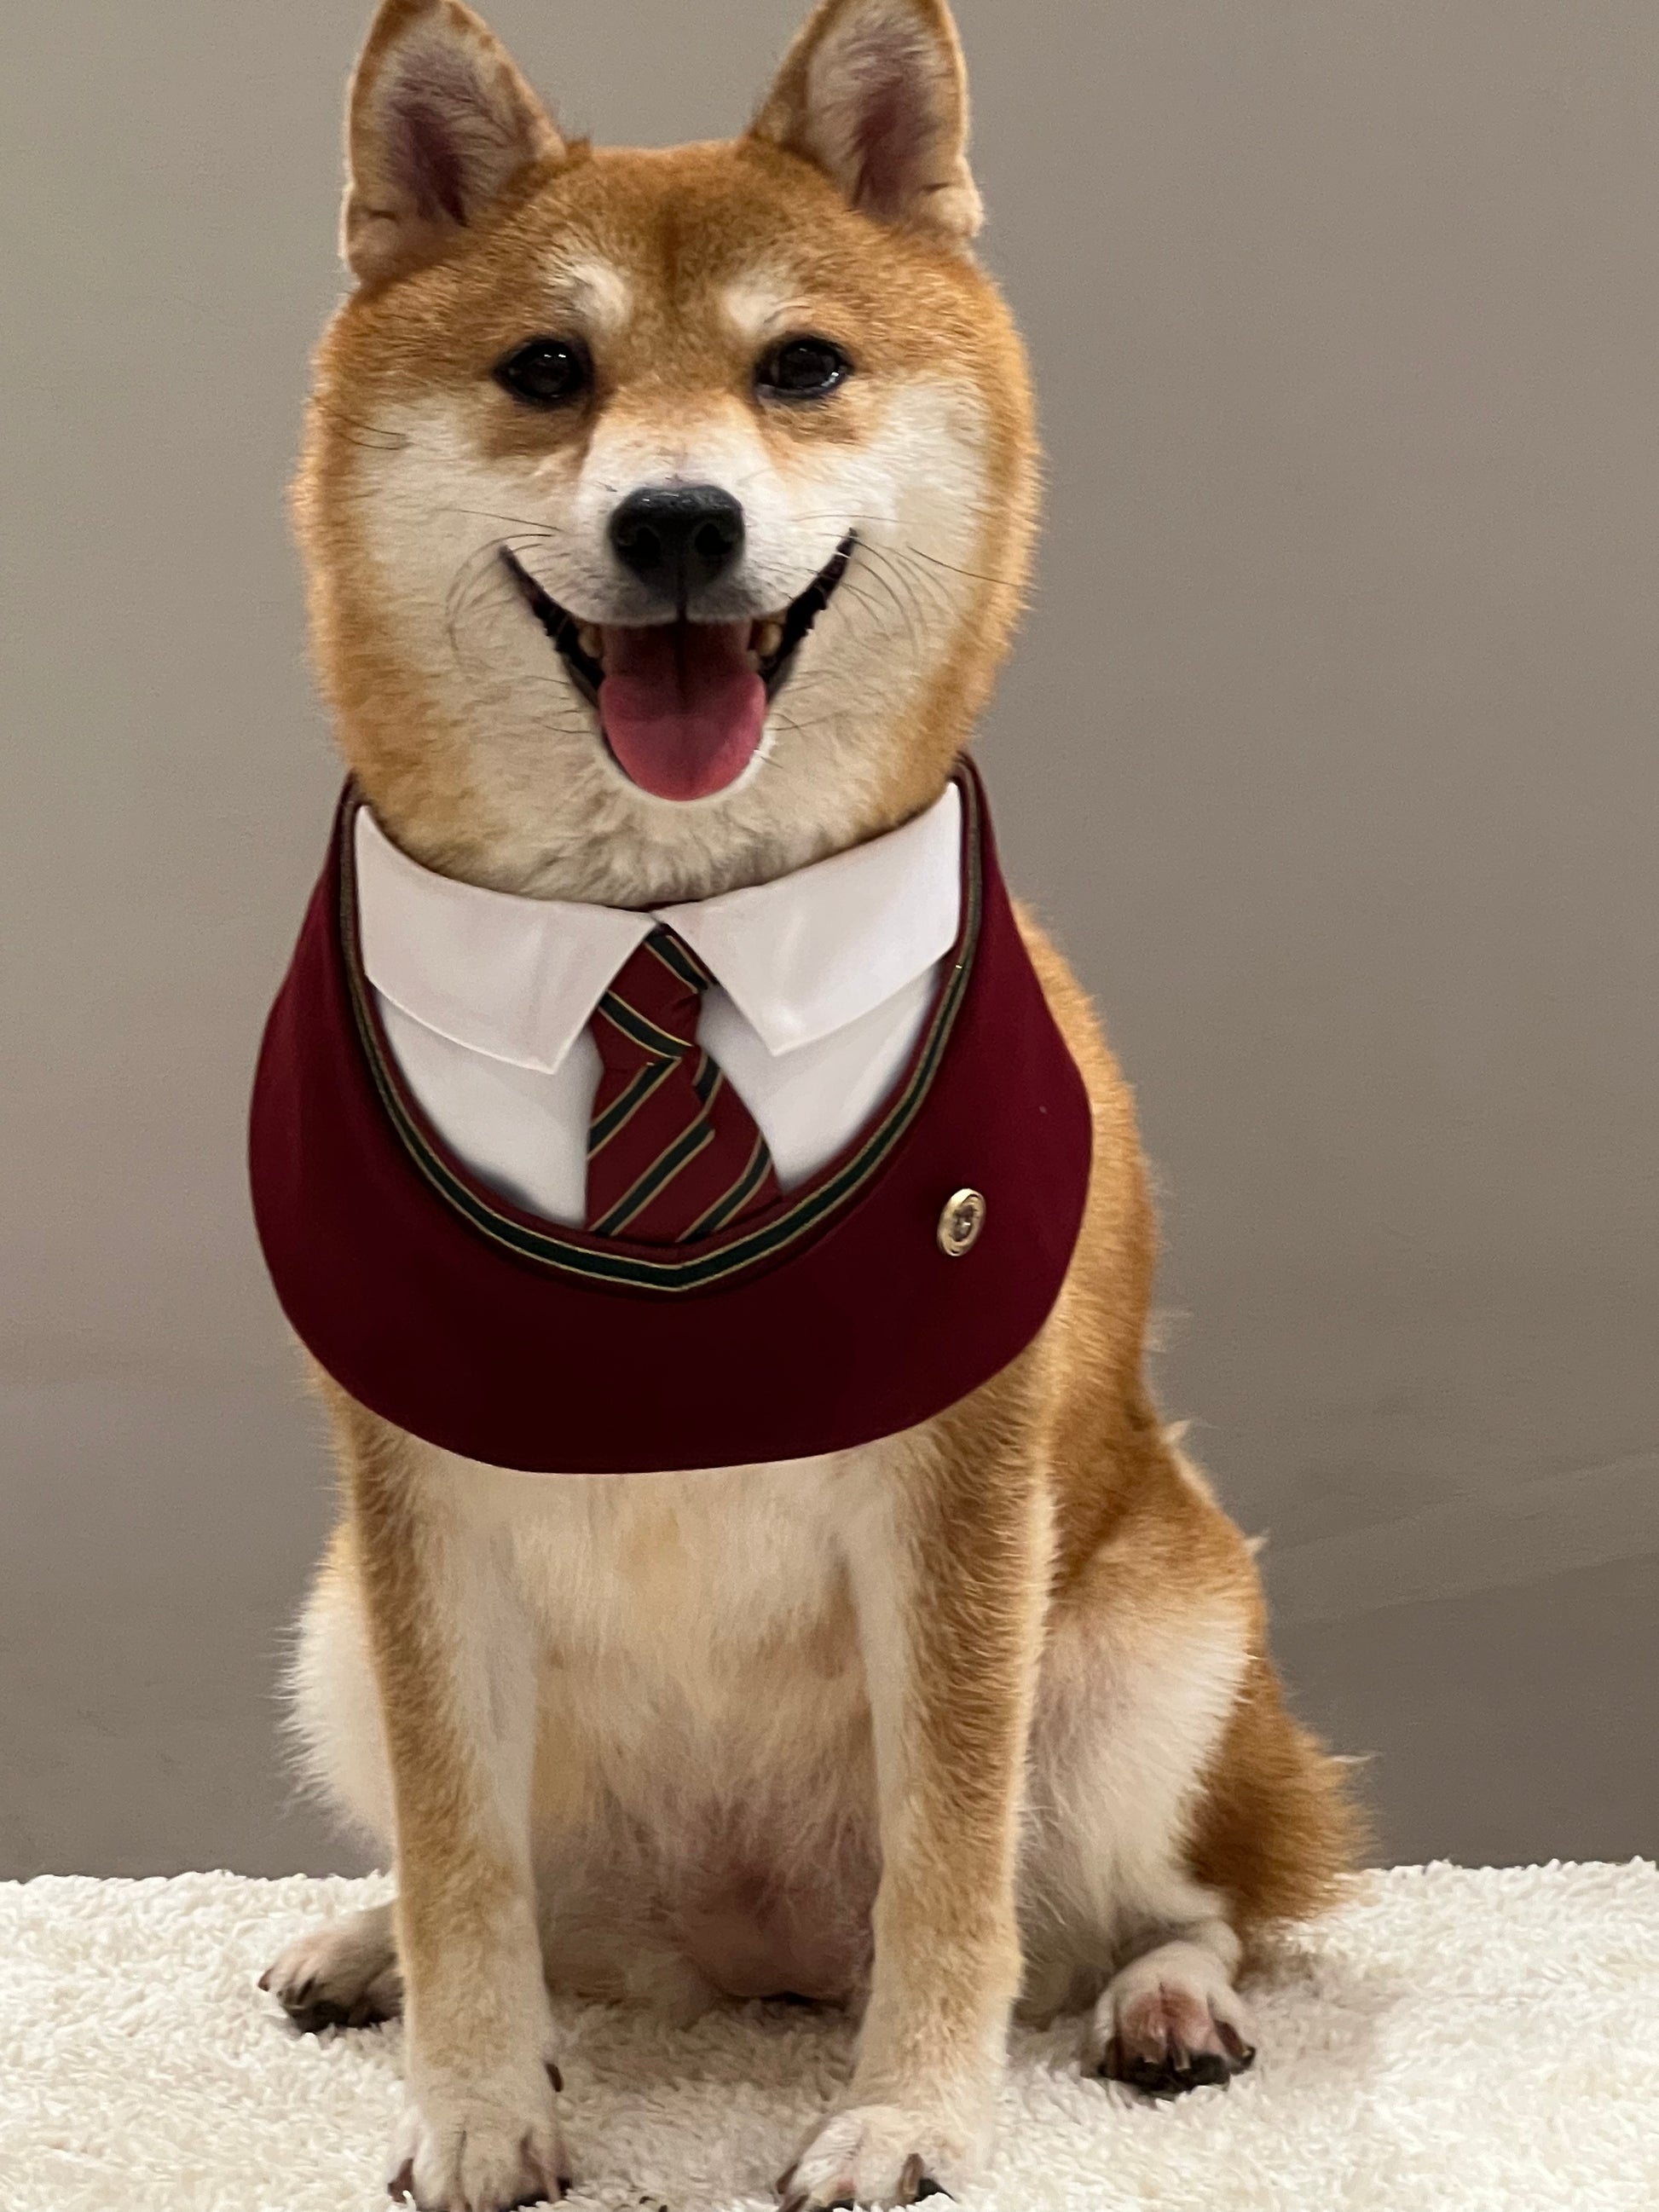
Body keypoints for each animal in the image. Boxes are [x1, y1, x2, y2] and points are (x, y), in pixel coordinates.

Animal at [256, 4, 1353, 2212]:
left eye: (802, 368)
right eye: (548, 370)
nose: (680, 523)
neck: (664, 931)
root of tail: (742, 1939)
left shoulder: (962, 1498)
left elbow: (951, 1864)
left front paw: (909, 2111)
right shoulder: (414, 1516)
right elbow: (464, 1861)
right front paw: (473, 2094)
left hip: (1157, 1646)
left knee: (1168, 1895)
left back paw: (1166, 2000)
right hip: (334, 1639)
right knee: (522, 1892)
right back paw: (369, 1947)